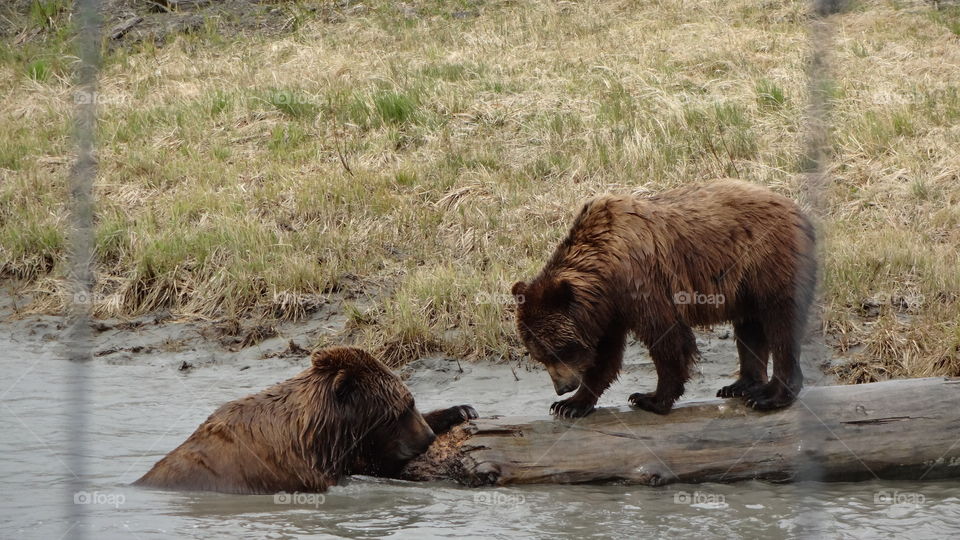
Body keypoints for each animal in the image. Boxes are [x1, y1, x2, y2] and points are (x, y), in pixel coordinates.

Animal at [512, 180, 812, 418]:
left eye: (559, 350)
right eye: (539, 355)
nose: (562, 388)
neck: (605, 270)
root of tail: (798, 210)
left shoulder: (643, 283)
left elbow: (667, 337)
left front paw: (650, 398)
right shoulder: (609, 310)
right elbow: (604, 355)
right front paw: (571, 405)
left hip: (768, 261)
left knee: (781, 324)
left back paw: (770, 395)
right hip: (744, 286)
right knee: (750, 326)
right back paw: (741, 385)